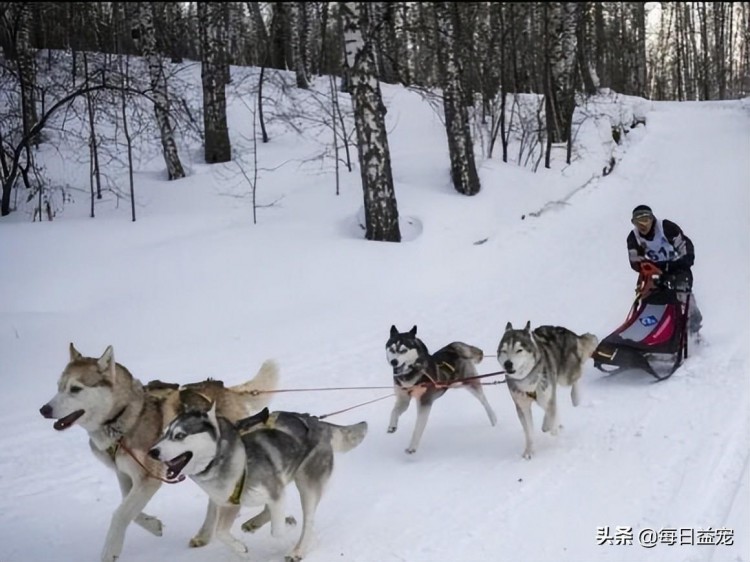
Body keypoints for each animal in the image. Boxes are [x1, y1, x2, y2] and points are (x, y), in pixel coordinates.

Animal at [38, 342, 280, 560]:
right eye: (59, 386)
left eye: (75, 389)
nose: (44, 409)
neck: (125, 417)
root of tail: (227, 390)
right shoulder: (124, 474)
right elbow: (130, 511)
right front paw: (153, 524)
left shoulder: (148, 479)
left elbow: (119, 515)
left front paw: (110, 552)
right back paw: (204, 534)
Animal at [148, 394, 368, 560]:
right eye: (164, 433)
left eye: (179, 435)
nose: (152, 452)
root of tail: (317, 422)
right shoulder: (230, 503)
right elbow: (221, 532)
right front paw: (241, 549)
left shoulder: (274, 493)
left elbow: (277, 531)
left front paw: (286, 536)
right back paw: (255, 522)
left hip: (307, 485)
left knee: (309, 521)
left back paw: (298, 548)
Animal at [500, 322, 600, 458]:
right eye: (504, 351)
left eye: (519, 350)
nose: (508, 364)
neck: (527, 380)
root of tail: (566, 331)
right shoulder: (522, 405)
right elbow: (529, 432)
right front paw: (529, 451)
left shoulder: (547, 396)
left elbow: (551, 414)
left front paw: (549, 426)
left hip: (565, 377)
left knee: (577, 375)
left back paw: (575, 398)